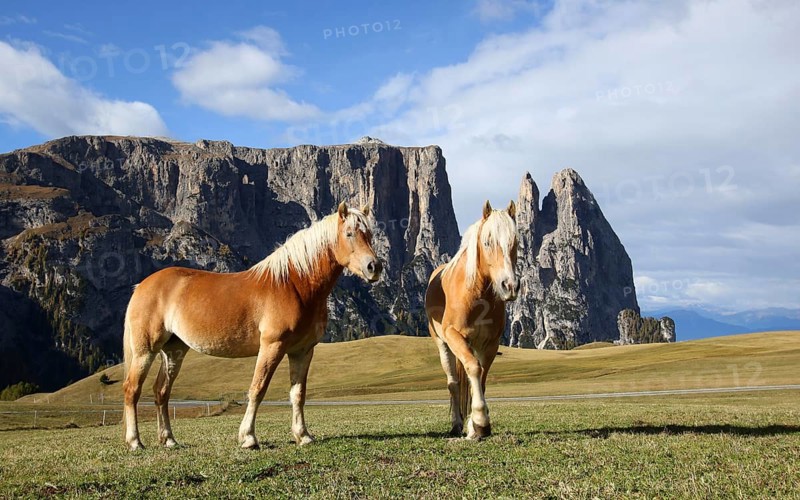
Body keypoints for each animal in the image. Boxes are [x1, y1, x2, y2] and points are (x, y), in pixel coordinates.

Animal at [122, 202, 382, 450]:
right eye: (349, 233)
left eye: (369, 234)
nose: (374, 267)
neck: (294, 284)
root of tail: (142, 286)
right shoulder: (272, 346)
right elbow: (257, 389)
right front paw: (248, 438)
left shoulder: (303, 351)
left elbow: (298, 393)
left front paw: (303, 436)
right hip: (146, 351)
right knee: (132, 389)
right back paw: (135, 442)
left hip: (174, 351)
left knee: (161, 392)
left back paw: (169, 440)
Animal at [425, 200, 519, 439]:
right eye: (487, 242)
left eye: (515, 242)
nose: (510, 286)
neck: (476, 294)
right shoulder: (454, 336)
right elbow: (473, 370)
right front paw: (479, 422)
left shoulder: (490, 344)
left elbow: (482, 378)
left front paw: (475, 424)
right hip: (443, 345)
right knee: (453, 383)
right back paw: (456, 423)